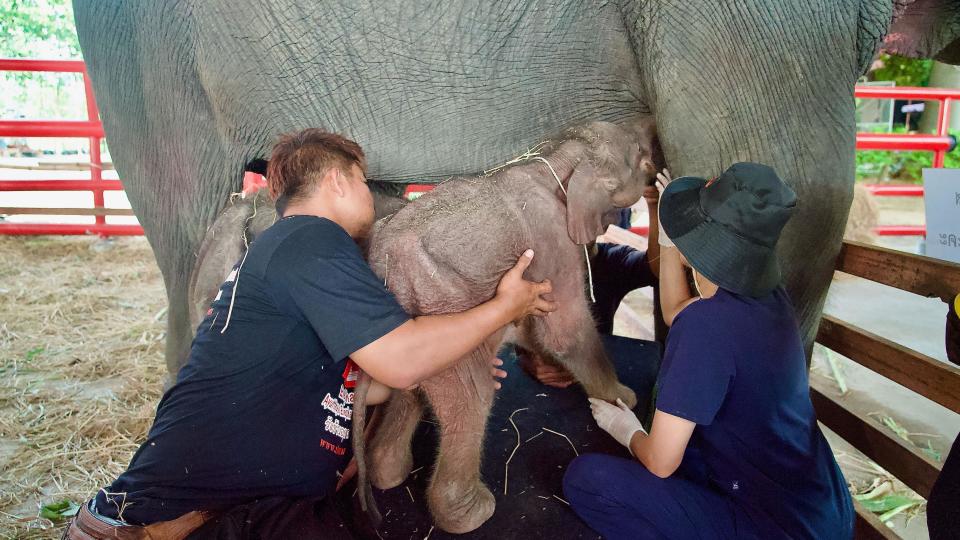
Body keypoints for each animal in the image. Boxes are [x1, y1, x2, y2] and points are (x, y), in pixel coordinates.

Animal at [360, 117, 660, 532]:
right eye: (640, 157)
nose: (653, 139)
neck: (557, 156)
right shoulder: (550, 239)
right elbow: (564, 330)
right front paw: (621, 400)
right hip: (442, 311)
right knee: (474, 395)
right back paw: (474, 513)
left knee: (411, 394)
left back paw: (389, 473)